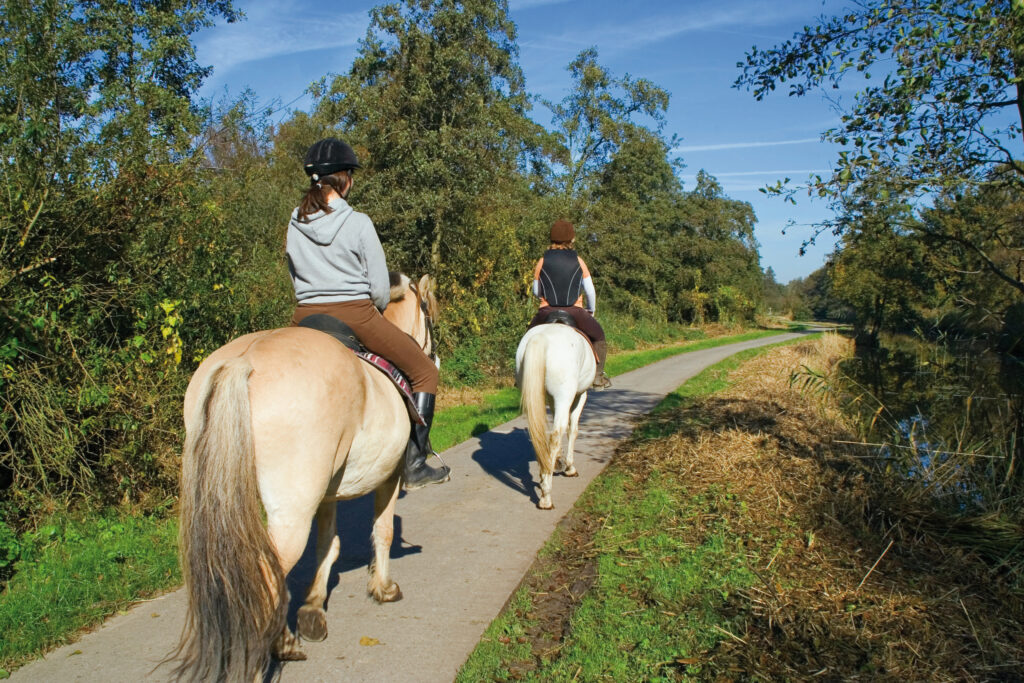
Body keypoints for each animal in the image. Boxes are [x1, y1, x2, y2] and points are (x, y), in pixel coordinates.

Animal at [172, 274, 436, 683]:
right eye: (429, 317)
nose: (435, 354)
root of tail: (243, 361)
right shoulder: (389, 476)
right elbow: (383, 530)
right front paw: (383, 588)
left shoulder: (326, 493)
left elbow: (329, 544)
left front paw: (313, 608)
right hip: (292, 511)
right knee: (265, 577)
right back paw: (270, 652)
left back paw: (283, 639)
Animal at [516, 323, 598, 509]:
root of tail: (541, 337)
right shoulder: (579, 396)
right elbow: (572, 429)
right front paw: (569, 467)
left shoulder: (551, 399)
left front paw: (557, 461)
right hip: (565, 395)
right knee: (556, 434)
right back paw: (546, 495)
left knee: (543, 433)